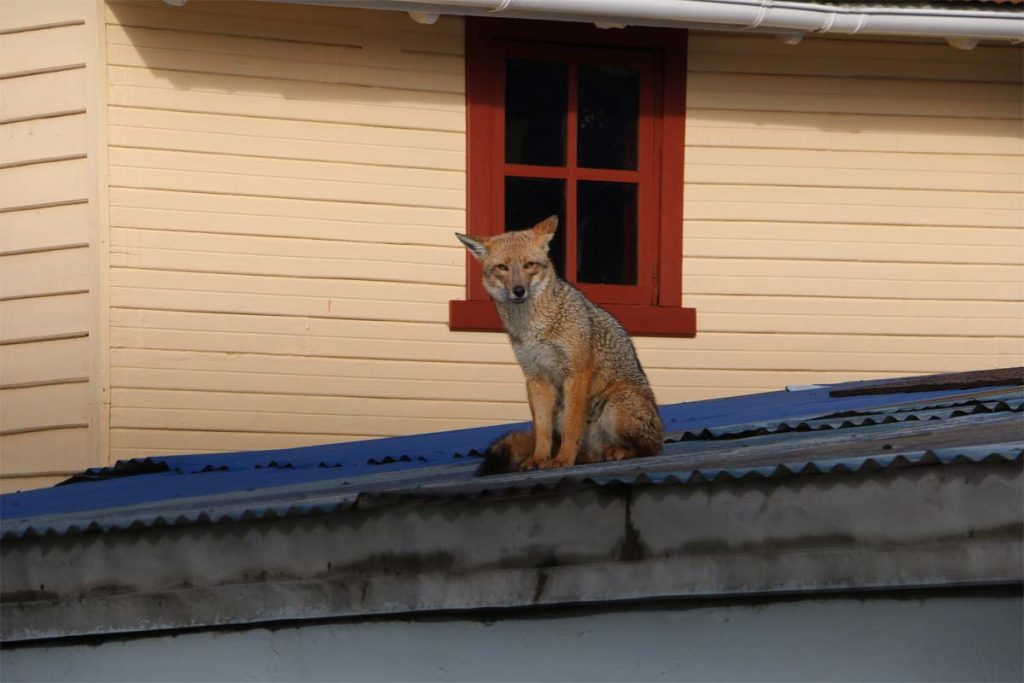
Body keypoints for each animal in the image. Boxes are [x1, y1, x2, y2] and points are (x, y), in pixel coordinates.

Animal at [456, 216, 663, 473]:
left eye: (529, 265)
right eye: (502, 268)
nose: (518, 291)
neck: (533, 328)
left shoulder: (576, 372)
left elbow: (571, 426)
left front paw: (563, 459)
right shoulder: (536, 378)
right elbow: (542, 432)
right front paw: (538, 459)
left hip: (616, 405)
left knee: (651, 448)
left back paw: (617, 451)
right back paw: (588, 456)